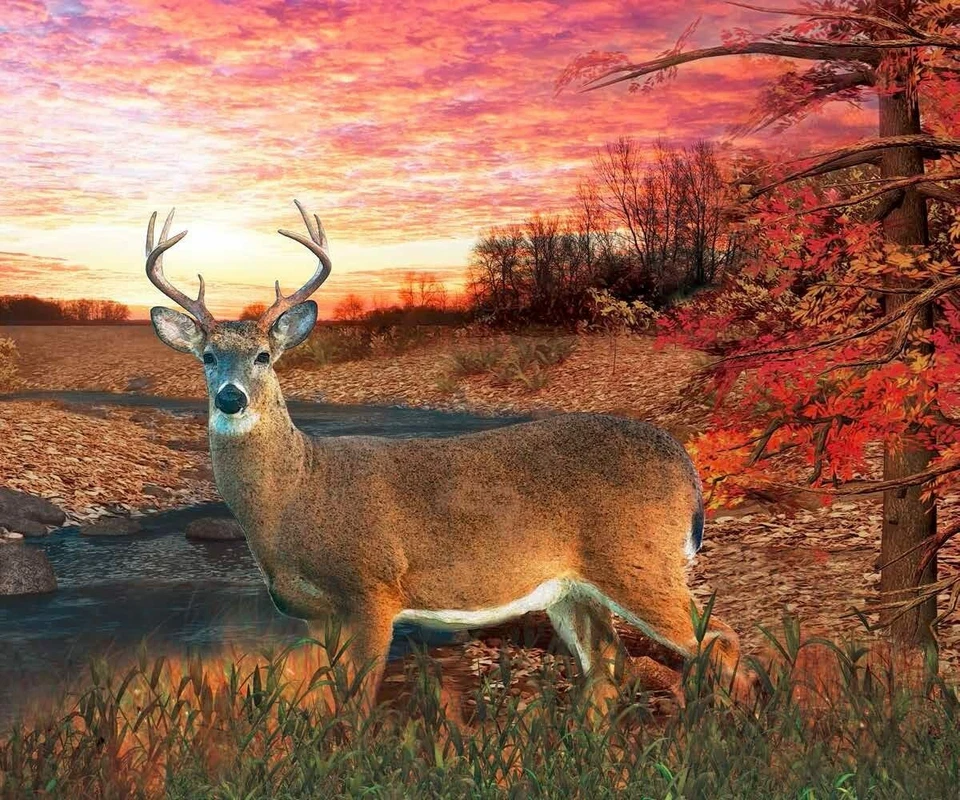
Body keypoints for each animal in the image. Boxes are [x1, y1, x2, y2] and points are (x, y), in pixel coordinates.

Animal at [145, 200, 747, 720]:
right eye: (207, 356)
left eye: (264, 356)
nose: (231, 398)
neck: (297, 493)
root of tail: (686, 467)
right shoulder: (315, 613)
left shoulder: (373, 589)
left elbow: (357, 706)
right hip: (572, 588)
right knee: (608, 668)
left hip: (640, 560)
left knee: (719, 640)